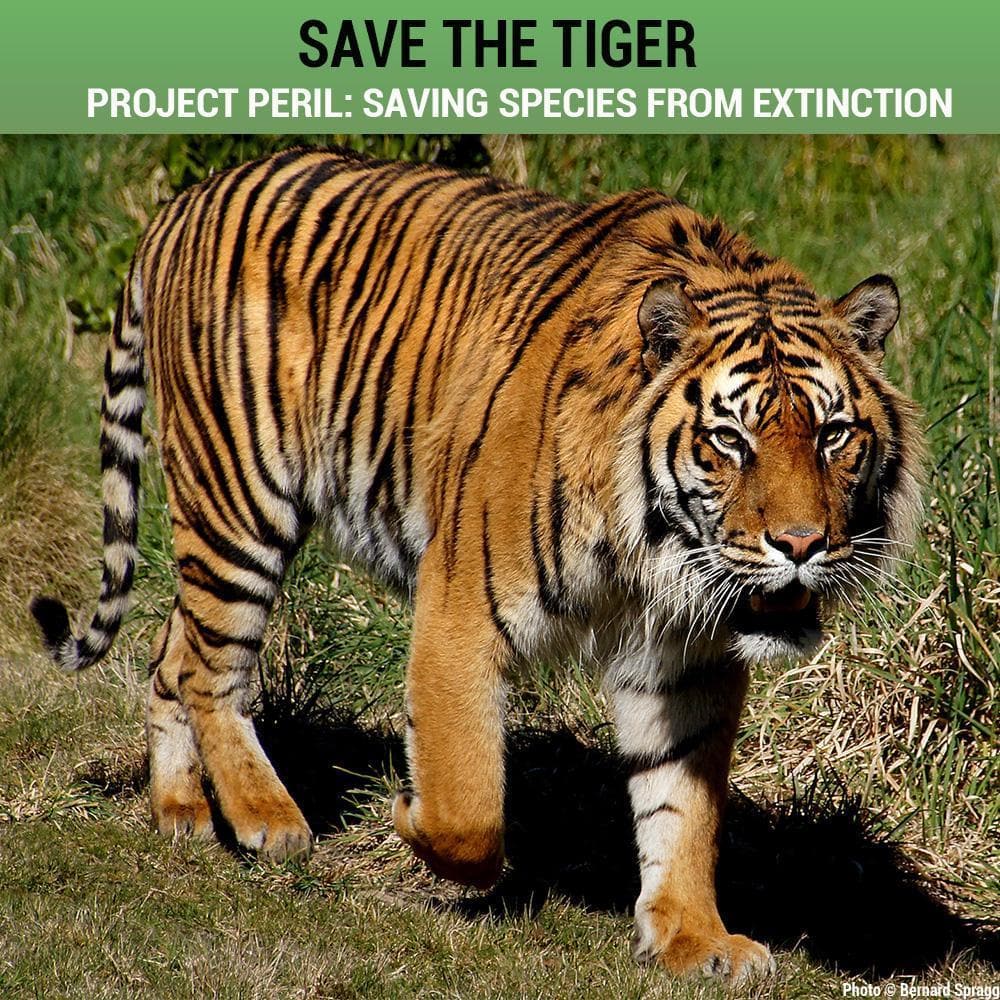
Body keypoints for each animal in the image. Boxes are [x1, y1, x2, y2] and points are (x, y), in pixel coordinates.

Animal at [31, 146, 923, 982]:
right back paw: (266, 818)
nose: (801, 545)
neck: (657, 551)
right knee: (212, 667)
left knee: (172, 652)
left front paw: (694, 939)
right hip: (240, 495)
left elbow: (684, 807)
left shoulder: (686, 658)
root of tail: (182, 203)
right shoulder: (462, 602)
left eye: (833, 435)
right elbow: (468, 804)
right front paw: (407, 817)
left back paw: (181, 808)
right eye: (730, 439)